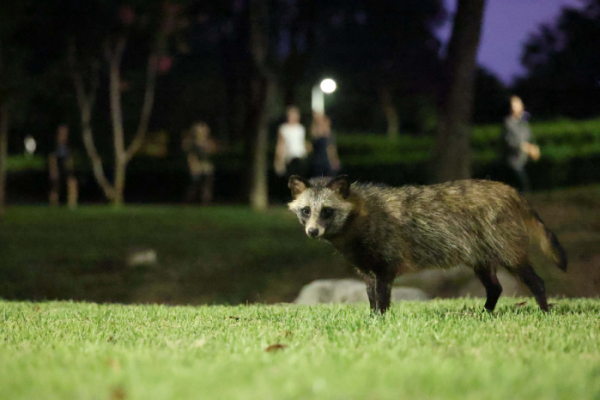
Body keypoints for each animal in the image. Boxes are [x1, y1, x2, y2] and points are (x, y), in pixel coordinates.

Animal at [290, 177, 568, 314]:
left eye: (327, 211)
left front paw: (381, 317)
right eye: (306, 210)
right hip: (479, 251)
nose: (312, 231)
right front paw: (371, 315)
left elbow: (382, 292)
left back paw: (544, 309)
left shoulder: (386, 255)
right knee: (494, 286)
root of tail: (511, 191)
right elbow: (369, 291)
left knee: (530, 276)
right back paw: (487, 310)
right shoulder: (365, 262)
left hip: (502, 237)